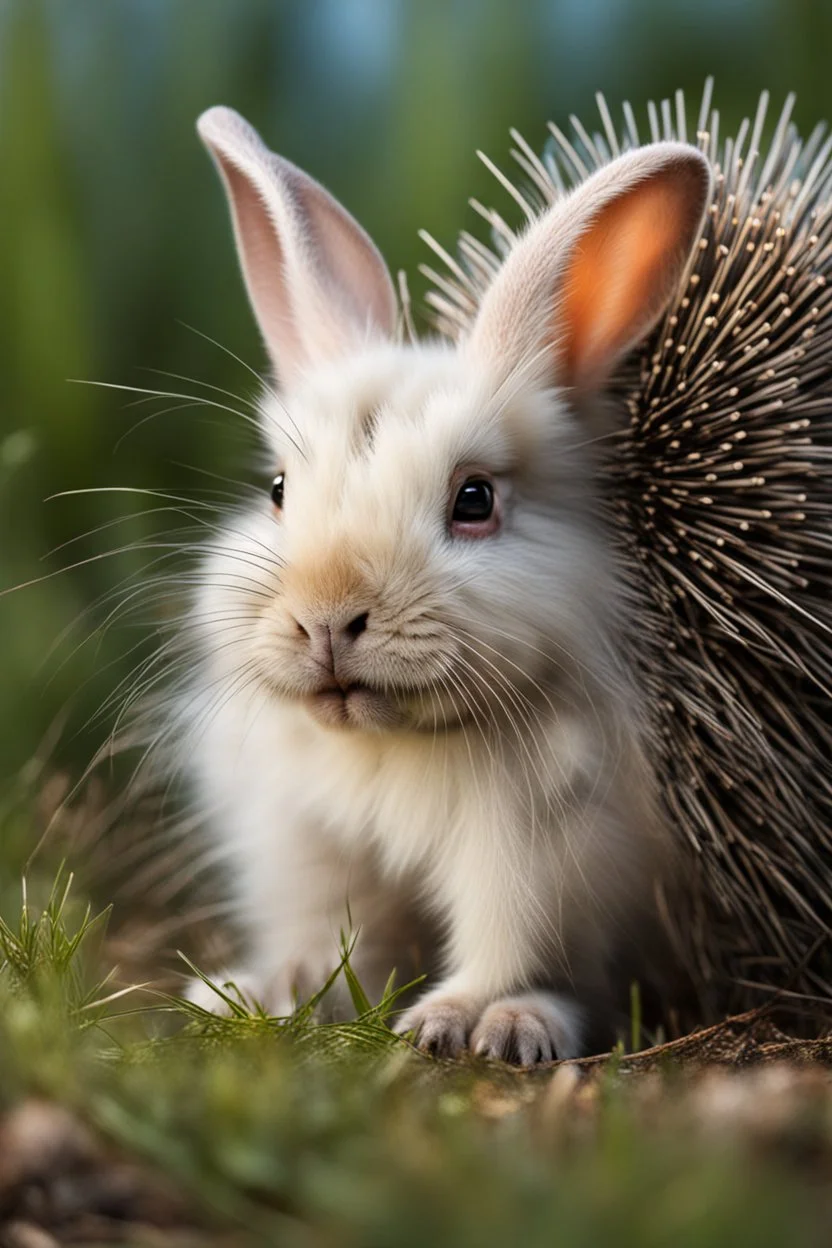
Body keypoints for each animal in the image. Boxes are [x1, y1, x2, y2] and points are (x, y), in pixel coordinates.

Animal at [172, 109, 713, 1063]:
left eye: (475, 500)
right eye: (277, 490)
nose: (326, 620)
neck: (390, 746)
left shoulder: (539, 854)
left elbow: (519, 951)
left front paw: (481, 1024)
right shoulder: (311, 844)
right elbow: (338, 940)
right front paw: (261, 992)